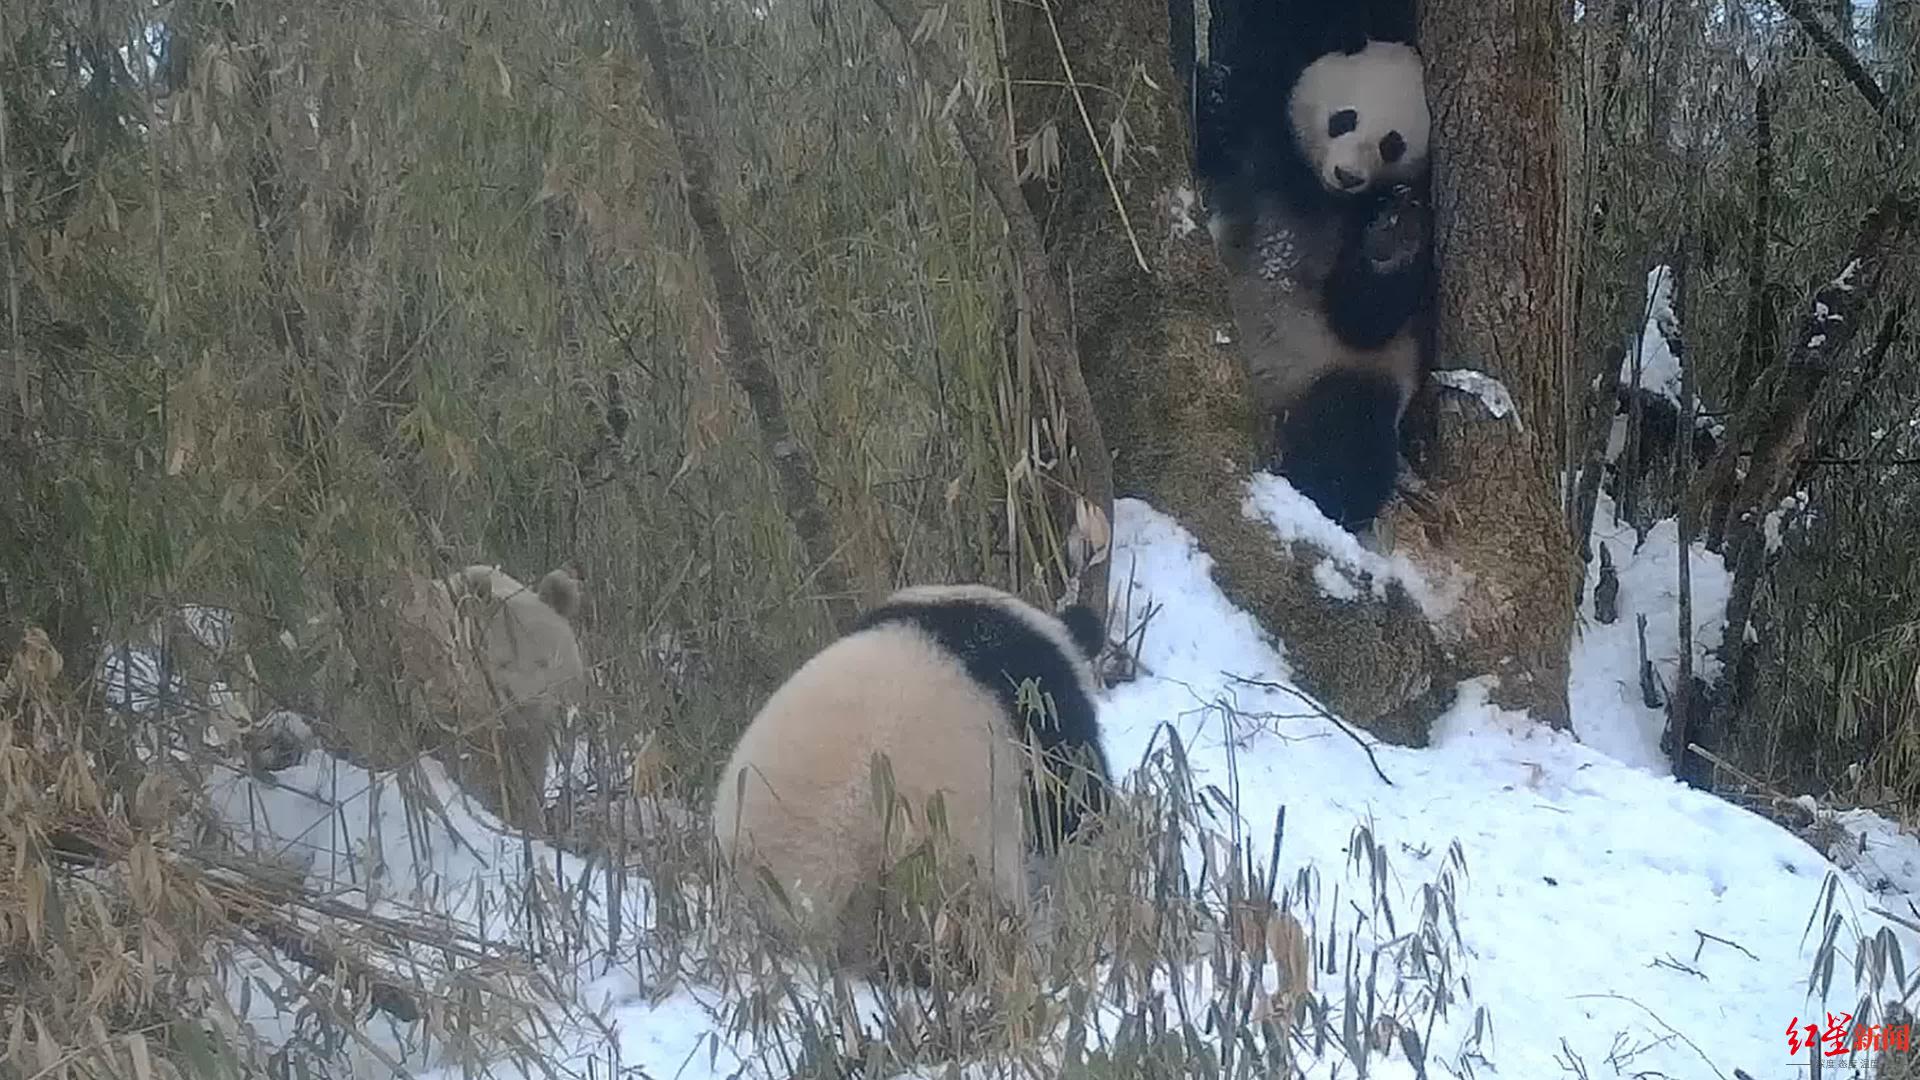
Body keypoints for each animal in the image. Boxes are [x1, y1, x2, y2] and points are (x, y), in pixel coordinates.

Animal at [1190, 0, 1436, 526]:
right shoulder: (1263, 140)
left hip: (1342, 371)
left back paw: (1317, 498)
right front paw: (1214, 90)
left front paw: (1392, 238)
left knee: (1349, 434)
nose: (1347, 174)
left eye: (1392, 144)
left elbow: (1365, 316)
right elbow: (1221, 123)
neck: (1320, 193)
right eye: (1344, 119)